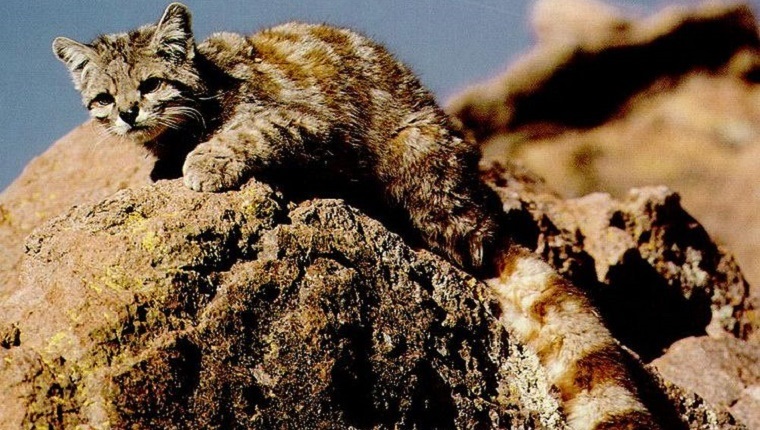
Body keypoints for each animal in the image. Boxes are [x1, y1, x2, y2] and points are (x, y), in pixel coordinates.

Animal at [53, 4, 660, 430]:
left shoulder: (306, 123)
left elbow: (247, 133)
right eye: (103, 97)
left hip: (419, 167)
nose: (128, 113)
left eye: (151, 83)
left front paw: (205, 161)